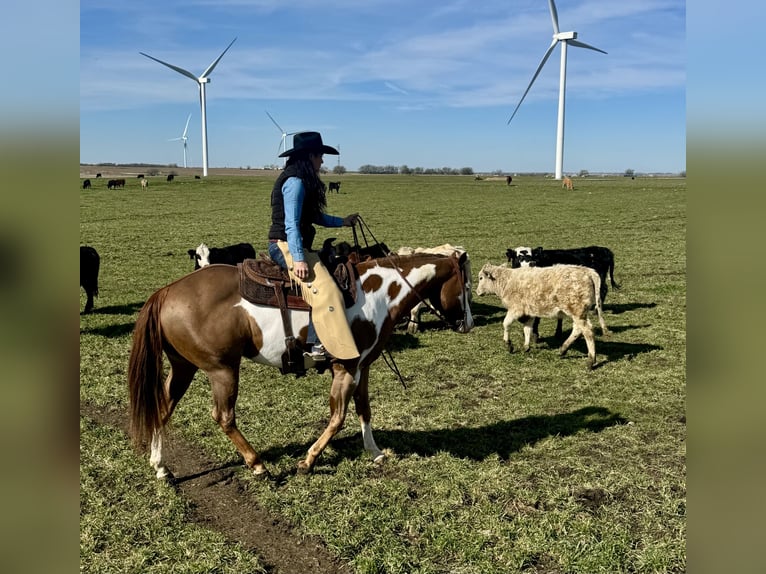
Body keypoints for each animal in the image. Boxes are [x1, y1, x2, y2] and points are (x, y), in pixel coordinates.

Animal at [127, 254, 474, 480]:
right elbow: (337, 418)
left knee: (162, 408)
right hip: (222, 370)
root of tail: (166, 292)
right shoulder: (345, 369)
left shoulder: (362, 367)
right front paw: (308, 461)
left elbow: (364, 410)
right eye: (467, 286)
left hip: (184, 367)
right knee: (223, 417)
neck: (376, 293)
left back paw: (161, 466)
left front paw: (375, 452)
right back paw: (257, 464)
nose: (468, 324)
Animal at [476, 264, 608, 372]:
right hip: (579, 313)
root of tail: (588, 271)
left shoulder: (515, 309)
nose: (477, 292)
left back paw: (590, 361)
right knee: (578, 329)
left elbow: (506, 324)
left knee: (588, 331)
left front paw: (508, 345)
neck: (507, 281)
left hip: (577, 311)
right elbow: (527, 329)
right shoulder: (529, 313)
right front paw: (526, 346)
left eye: (481, 278)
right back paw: (562, 350)